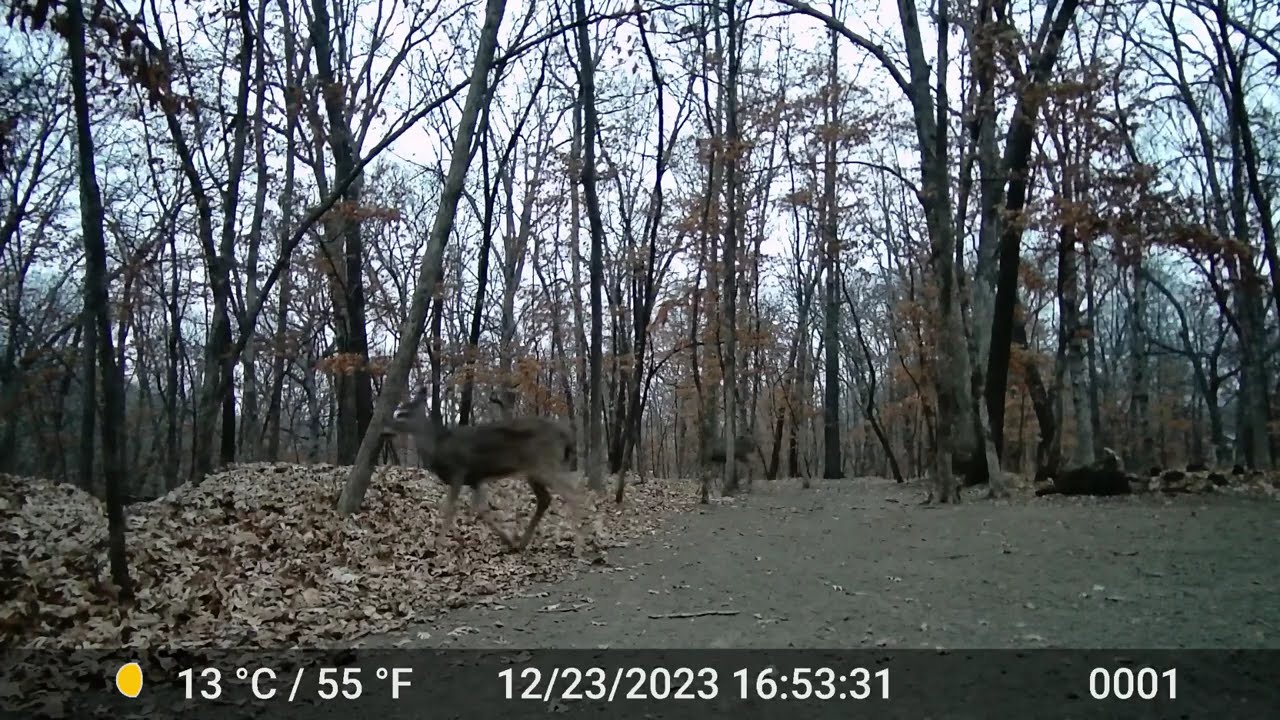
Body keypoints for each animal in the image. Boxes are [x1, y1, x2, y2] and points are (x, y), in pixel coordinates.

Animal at [380, 385, 587, 555]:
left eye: (402, 413)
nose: (384, 429)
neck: (438, 447)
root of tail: (565, 435)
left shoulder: (459, 471)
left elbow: (450, 508)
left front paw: (438, 544)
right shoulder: (475, 478)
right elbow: (480, 510)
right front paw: (507, 541)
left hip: (545, 464)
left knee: (572, 493)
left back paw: (578, 548)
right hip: (533, 471)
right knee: (545, 499)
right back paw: (523, 543)